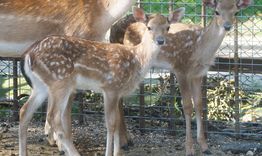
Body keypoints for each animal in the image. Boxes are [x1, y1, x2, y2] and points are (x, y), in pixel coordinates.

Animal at [18, 7, 184, 156]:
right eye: (149, 27)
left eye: (168, 27)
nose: (160, 41)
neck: (137, 59)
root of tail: (30, 55)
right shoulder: (111, 87)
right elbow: (110, 124)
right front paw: (110, 153)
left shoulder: (118, 92)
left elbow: (117, 121)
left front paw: (117, 153)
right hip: (60, 81)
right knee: (53, 117)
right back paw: (74, 153)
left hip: (40, 85)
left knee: (24, 111)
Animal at [111, 0, 253, 156]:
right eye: (216, 12)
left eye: (236, 12)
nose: (227, 26)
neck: (200, 49)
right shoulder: (181, 68)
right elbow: (187, 106)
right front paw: (189, 148)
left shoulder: (198, 74)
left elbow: (199, 104)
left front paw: (204, 146)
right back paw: (123, 142)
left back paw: (127, 140)